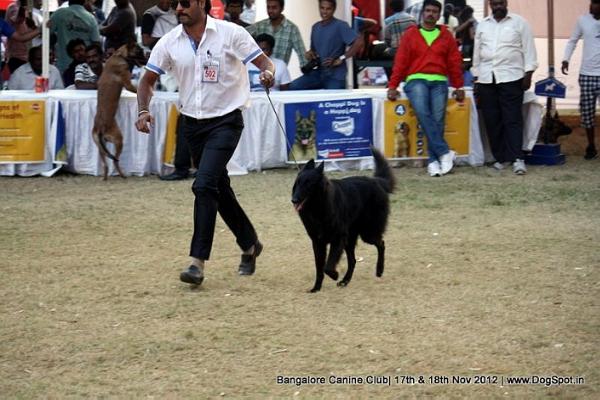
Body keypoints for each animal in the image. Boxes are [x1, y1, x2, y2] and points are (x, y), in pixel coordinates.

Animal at [92, 41, 147, 179]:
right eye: (139, 51)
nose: (147, 59)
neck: (119, 55)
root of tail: (100, 128)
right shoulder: (128, 84)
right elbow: (137, 89)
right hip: (118, 140)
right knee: (114, 161)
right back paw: (122, 175)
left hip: (100, 147)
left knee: (105, 163)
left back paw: (104, 177)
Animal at [290, 146, 394, 290]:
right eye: (298, 183)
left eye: (308, 184)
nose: (293, 200)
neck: (318, 208)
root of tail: (376, 181)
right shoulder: (318, 242)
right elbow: (319, 267)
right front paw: (316, 288)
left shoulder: (338, 238)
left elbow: (327, 266)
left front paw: (334, 275)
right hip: (351, 239)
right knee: (353, 260)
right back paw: (345, 281)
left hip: (367, 234)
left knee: (381, 244)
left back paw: (379, 270)